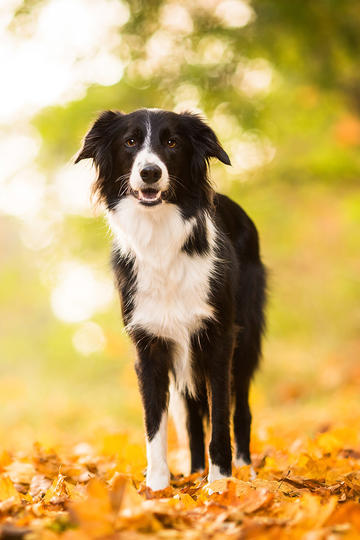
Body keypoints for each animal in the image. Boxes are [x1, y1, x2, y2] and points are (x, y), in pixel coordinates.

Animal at [76, 108, 266, 490]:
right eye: (130, 141)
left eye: (172, 142)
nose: (150, 172)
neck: (160, 238)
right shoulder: (149, 346)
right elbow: (155, 425)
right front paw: (157, 488)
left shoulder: (219, 339)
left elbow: (220, 418)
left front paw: (220, 485)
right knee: (191, 418)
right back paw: (194, 471)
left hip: (245, 339)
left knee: (241, 408)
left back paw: (243, 470)